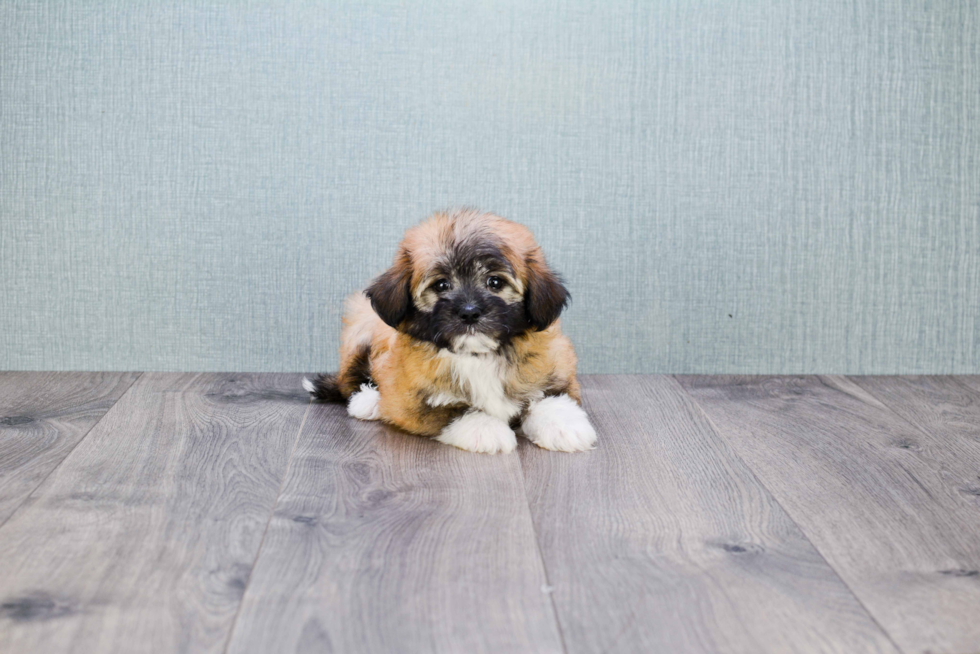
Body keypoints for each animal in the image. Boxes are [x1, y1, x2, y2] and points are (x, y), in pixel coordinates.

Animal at [304, 210, 596, 456]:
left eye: (495, 282)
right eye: (441, 285)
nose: (469, 312)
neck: (478, 355)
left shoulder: (556, 363)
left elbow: (551, 397)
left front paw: (565, 427)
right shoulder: (410, 399)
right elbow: (451, 410)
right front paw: (486, 429)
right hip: (361, 329)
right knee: (351, 380)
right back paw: (368, 401)